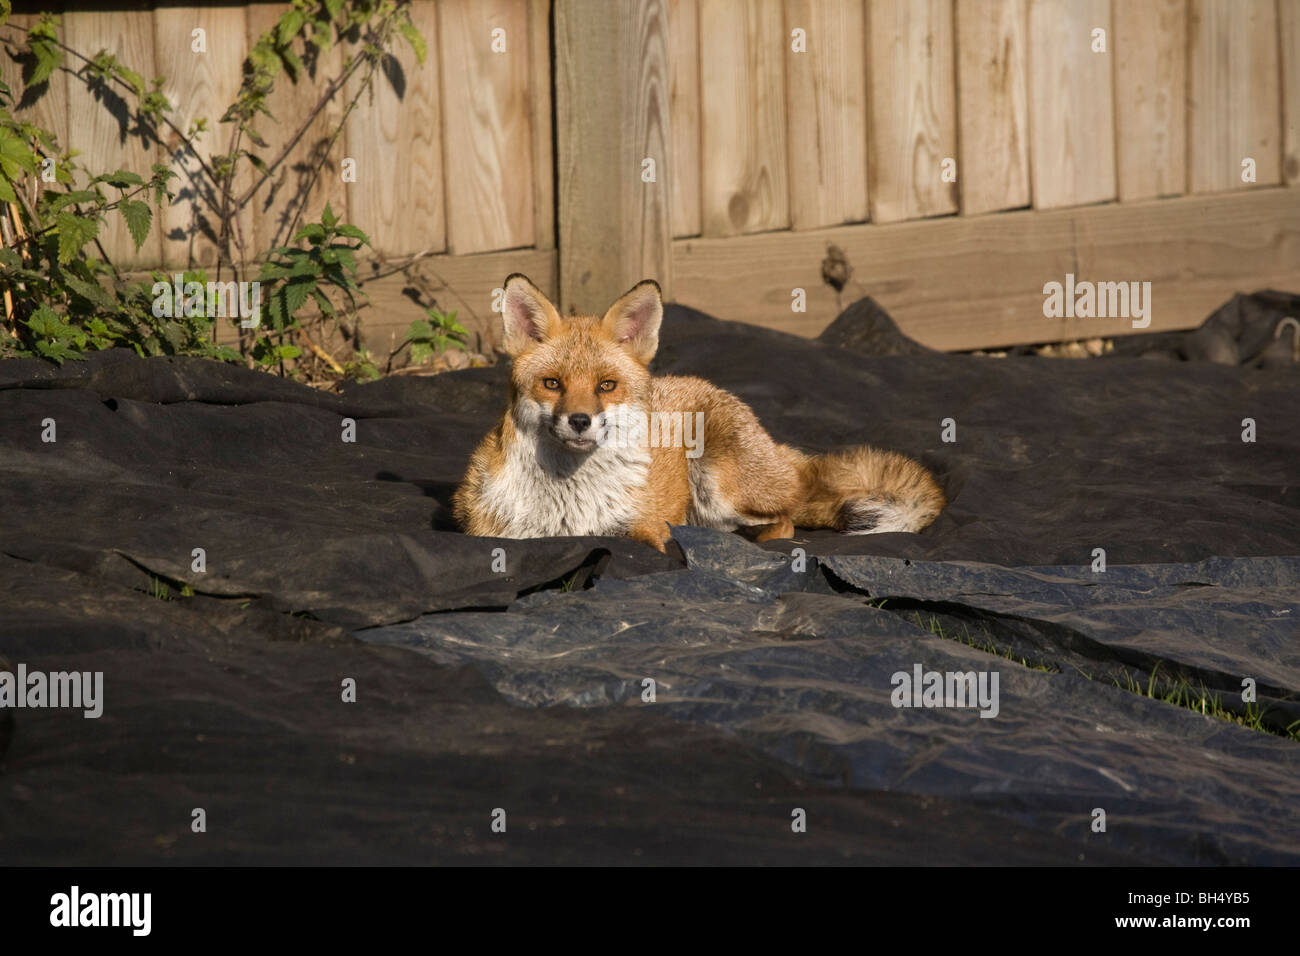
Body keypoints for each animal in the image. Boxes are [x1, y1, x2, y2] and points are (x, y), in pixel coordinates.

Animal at [454, 273, 946, 554]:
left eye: (606, 385)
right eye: (552, 383)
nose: (579, 420)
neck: (569, 511)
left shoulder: (647, 530)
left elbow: (647, 543)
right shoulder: (493, 533)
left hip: (717, 484)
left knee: (786, 521)